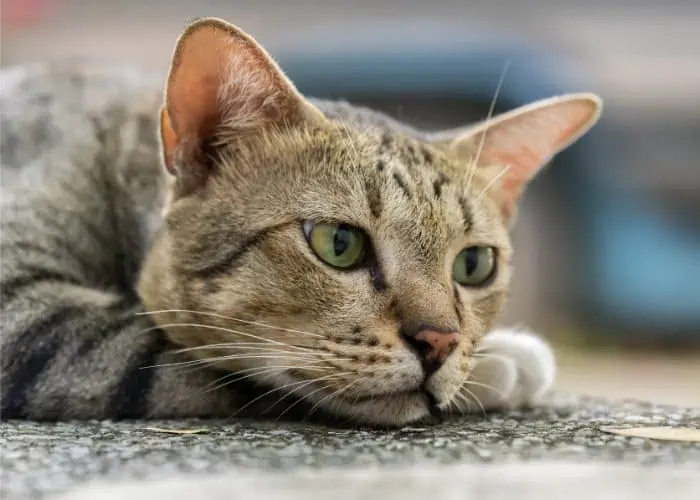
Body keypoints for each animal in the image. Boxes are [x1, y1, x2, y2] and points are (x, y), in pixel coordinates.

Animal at [0, 17, 600, 428]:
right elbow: (193, 363)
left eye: (474, 264)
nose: (440, 342)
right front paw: (506, 361)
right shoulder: (25, 317)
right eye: (338, 244)